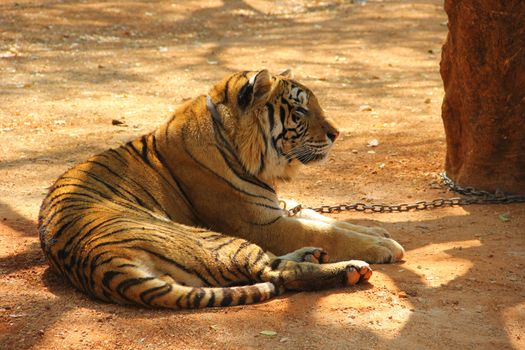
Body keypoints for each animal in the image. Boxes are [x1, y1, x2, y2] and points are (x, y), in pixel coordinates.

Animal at [39, 69, 404, 308]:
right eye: (300, 110)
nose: (336, 133)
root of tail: (100, 263)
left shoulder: (276, 207)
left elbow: (328, 219)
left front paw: (377, 232)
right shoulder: (259, 223)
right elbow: (327, 232)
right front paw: (384, 246)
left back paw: (316, 255)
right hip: (214, 239)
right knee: (276, 271)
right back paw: (351, 269)